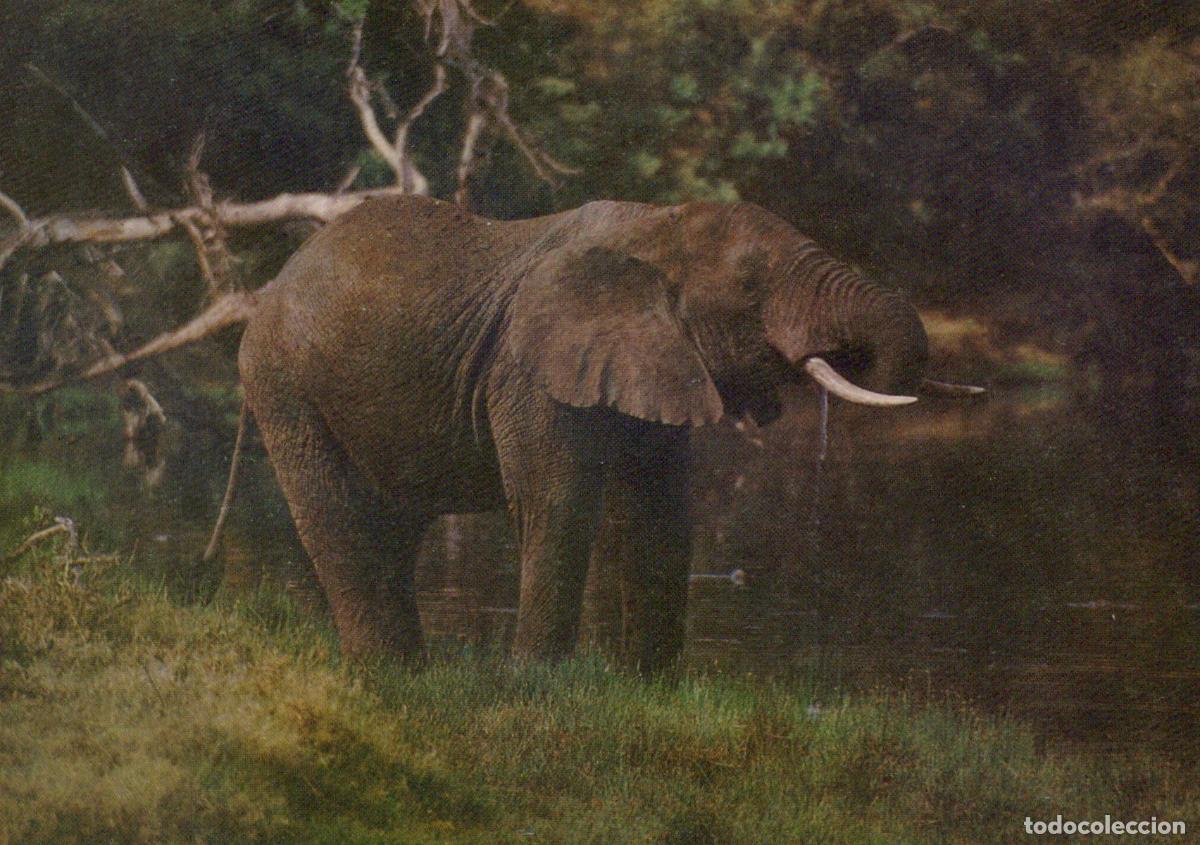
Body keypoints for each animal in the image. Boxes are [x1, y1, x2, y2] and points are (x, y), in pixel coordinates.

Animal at [230, 194, 981, 671]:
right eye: (749, 286)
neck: (653, 224)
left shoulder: (657, 359)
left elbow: (661, 513)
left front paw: (647, 686)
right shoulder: (527, 371)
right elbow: (556, 504)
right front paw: (536, 683)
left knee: (392, 524)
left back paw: (408, 670)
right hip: (281, 383)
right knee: (337, 515)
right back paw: (388, 672)